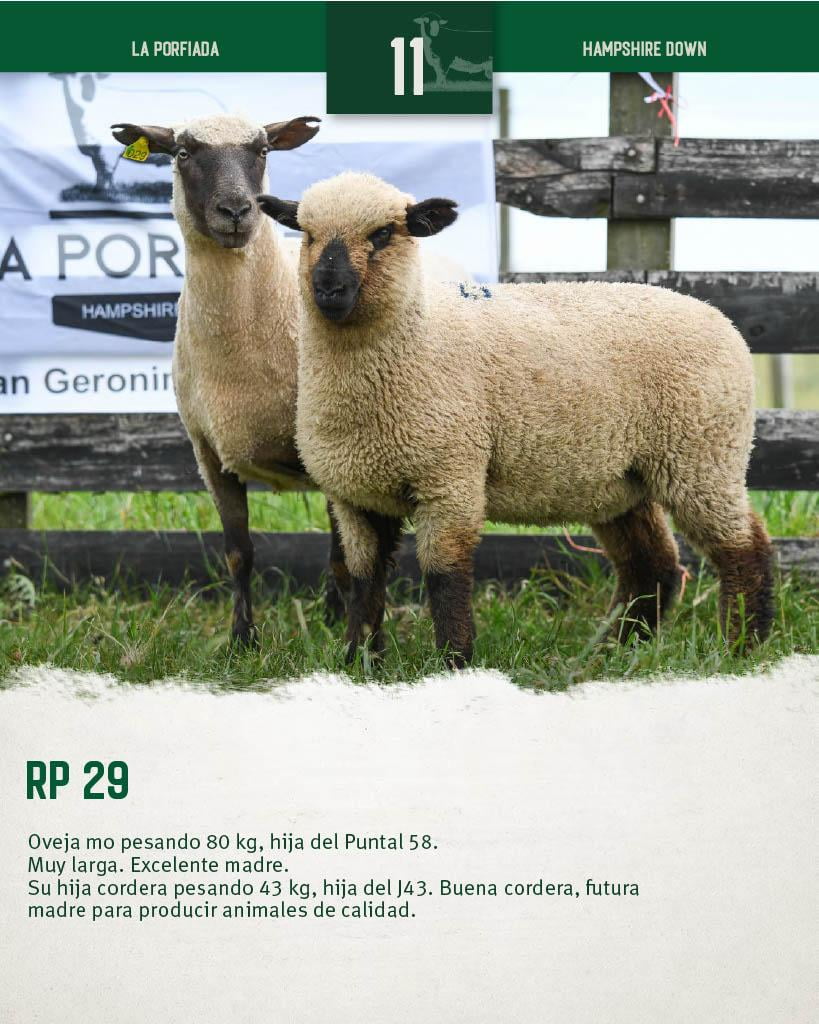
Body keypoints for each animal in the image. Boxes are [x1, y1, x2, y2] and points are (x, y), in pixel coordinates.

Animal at [110, 113, 351, 645]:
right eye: (182, 153)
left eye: (262, 151)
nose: (237, 210)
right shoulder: (209, 452)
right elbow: (239, 553)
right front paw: (242, 640)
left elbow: (345, 553)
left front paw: (350, 630)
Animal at [259, 171, 775, 666]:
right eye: (306, 233)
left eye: (383, 233)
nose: (329, 288)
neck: (417, 340)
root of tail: (721, 319)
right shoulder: (355, 496)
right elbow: (363, 583)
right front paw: (358, 662)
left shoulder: (450, 479)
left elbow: (444, 578)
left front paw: (453, 663)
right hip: (621, 479)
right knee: (652, 564)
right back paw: (618, 650)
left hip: (702, 456)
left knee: (744, 548)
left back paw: (742, 647)